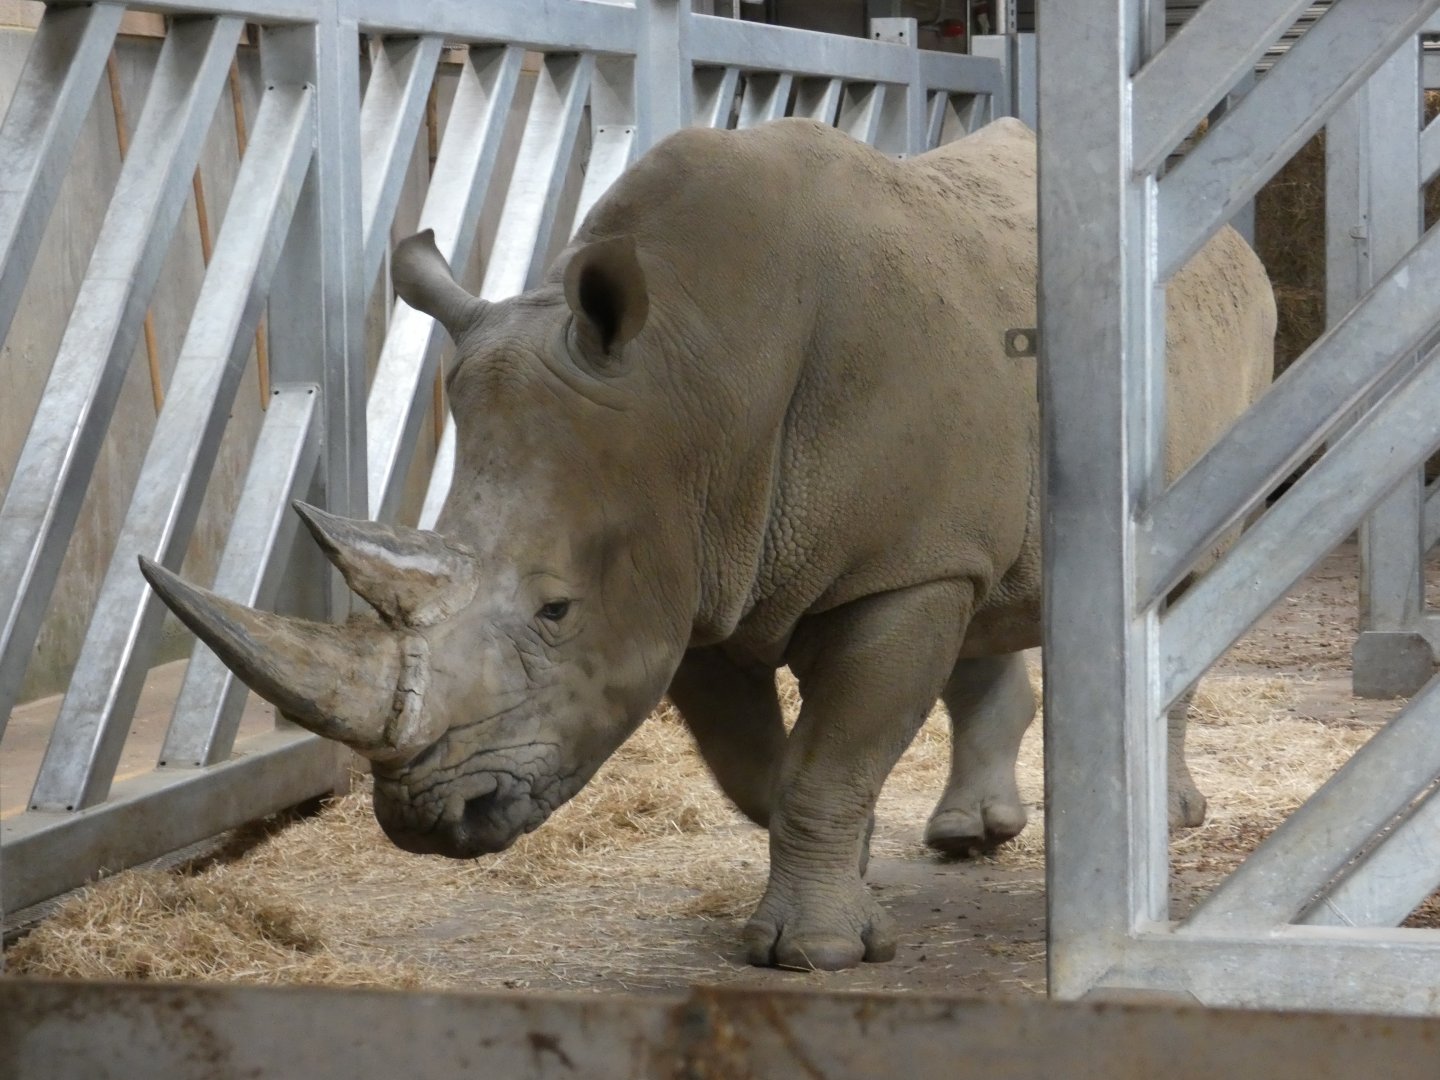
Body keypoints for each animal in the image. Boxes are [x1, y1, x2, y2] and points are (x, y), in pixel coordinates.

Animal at [142, 117, 1275, 971]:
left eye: (554, 609)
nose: (430, 817)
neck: (693, 377)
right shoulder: (690, 574)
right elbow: (764, 771)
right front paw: (857, 879)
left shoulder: (881, 574)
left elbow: (827, 762)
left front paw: (817, 952)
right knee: (992, 592)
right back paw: (968, 836)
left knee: (1193, 576)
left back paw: (1172, 817)